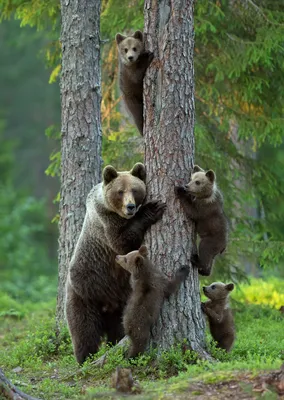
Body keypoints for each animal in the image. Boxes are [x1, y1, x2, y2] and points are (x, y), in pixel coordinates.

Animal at [65, 163, 165, 366]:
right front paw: (152, 209)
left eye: (135, 189)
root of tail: (107, 305)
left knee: (117, 329)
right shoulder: (106, 222)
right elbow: (122, 243)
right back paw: (85, 359)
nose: (130, 206)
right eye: (120, 191)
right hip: (84, 294)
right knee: (84, 332)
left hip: (120, 303)